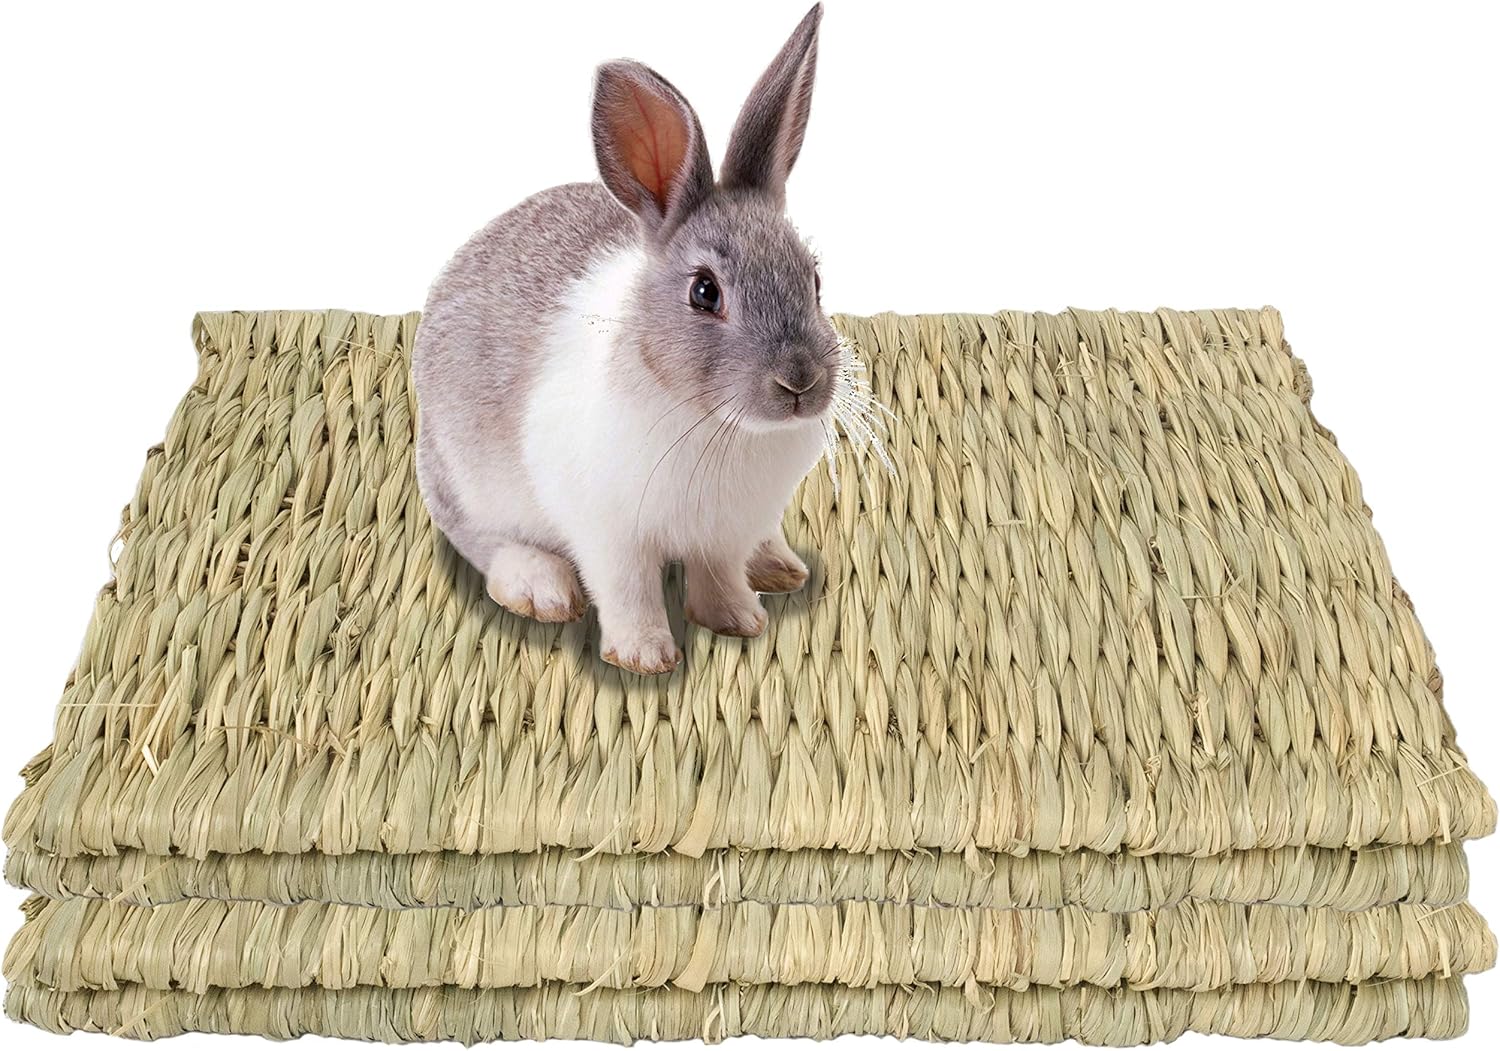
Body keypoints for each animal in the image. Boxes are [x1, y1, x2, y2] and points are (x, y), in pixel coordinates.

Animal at [413, 4, 836, 676]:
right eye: (704, 292)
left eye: (815, 280)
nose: (800, 381)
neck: (716, 424)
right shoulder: (609, 533)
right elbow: (627, 588)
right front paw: (644, 657)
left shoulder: (723, 534)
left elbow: (718, 577)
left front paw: (739, 620)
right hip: (465, 482)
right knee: (482, 540)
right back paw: (540, 587)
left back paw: (777, 565)